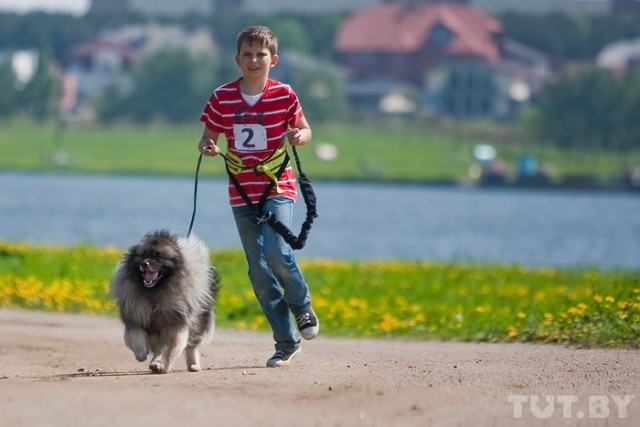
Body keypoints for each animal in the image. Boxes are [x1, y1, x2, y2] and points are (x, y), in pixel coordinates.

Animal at [110, 231, 220, 374]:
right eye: (144, 254)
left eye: (159, 257)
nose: (145, 264)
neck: (154, 294)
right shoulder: (136, 316)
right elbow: (136, 336)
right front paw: (141, 353)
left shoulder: (172, 322)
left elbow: (166, 348)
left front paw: (158, 363)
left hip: (198, 323)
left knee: (192, 346)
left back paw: (193, 365)